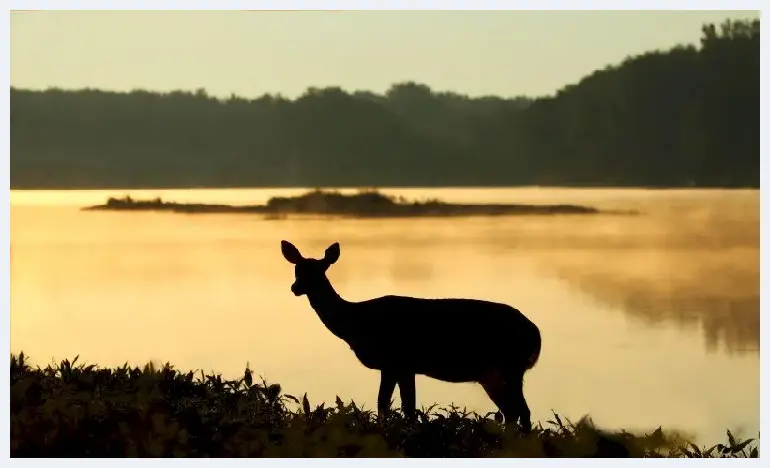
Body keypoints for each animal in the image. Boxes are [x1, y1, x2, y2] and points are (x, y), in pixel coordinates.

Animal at [278, 241, 540, 432]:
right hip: (494, 374)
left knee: (521, 412)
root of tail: (536, 334)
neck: (357, 323)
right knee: (512, 412)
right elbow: (406, 407)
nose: (295, 288)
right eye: (297, 269)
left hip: (510, 366)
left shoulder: (394, 361)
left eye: (319, 271)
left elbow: (387, 404)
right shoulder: (405, 367)